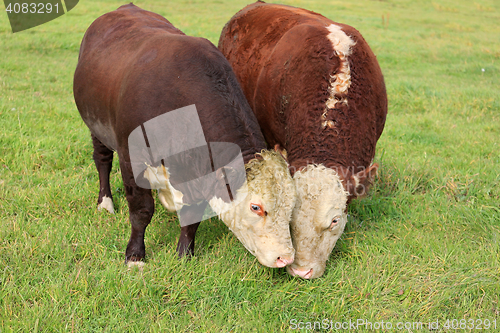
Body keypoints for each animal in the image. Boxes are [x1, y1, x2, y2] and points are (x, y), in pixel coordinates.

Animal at [72, 3, 294, 268]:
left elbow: (191, 217)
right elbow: (141, 211)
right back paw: (105, 203)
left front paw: (184, 255)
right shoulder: (131, 159)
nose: (286, 257)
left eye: (292, 207)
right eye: (256, 207)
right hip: (96, 126)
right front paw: (135, 255)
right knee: (102, 161)